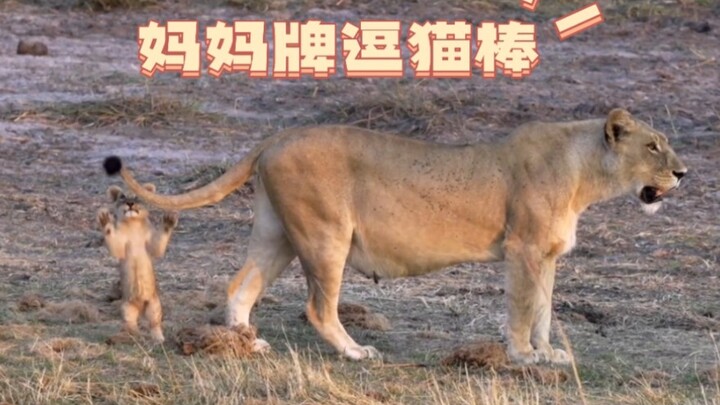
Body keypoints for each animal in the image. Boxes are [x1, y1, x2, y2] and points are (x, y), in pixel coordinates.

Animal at [97, 185, 178, 343]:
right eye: (122, 197)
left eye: (137, 196)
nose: (130, 203)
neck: (132, 224)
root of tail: (140, 308)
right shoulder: (119, 246)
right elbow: (113, 242)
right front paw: (104, 218)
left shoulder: (151, 243)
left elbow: (158, 245)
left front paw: (169, 219)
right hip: (126, 307)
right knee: (131, 324)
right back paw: (135, 336)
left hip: (154, 304)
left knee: (154, 323)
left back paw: (159, 338)